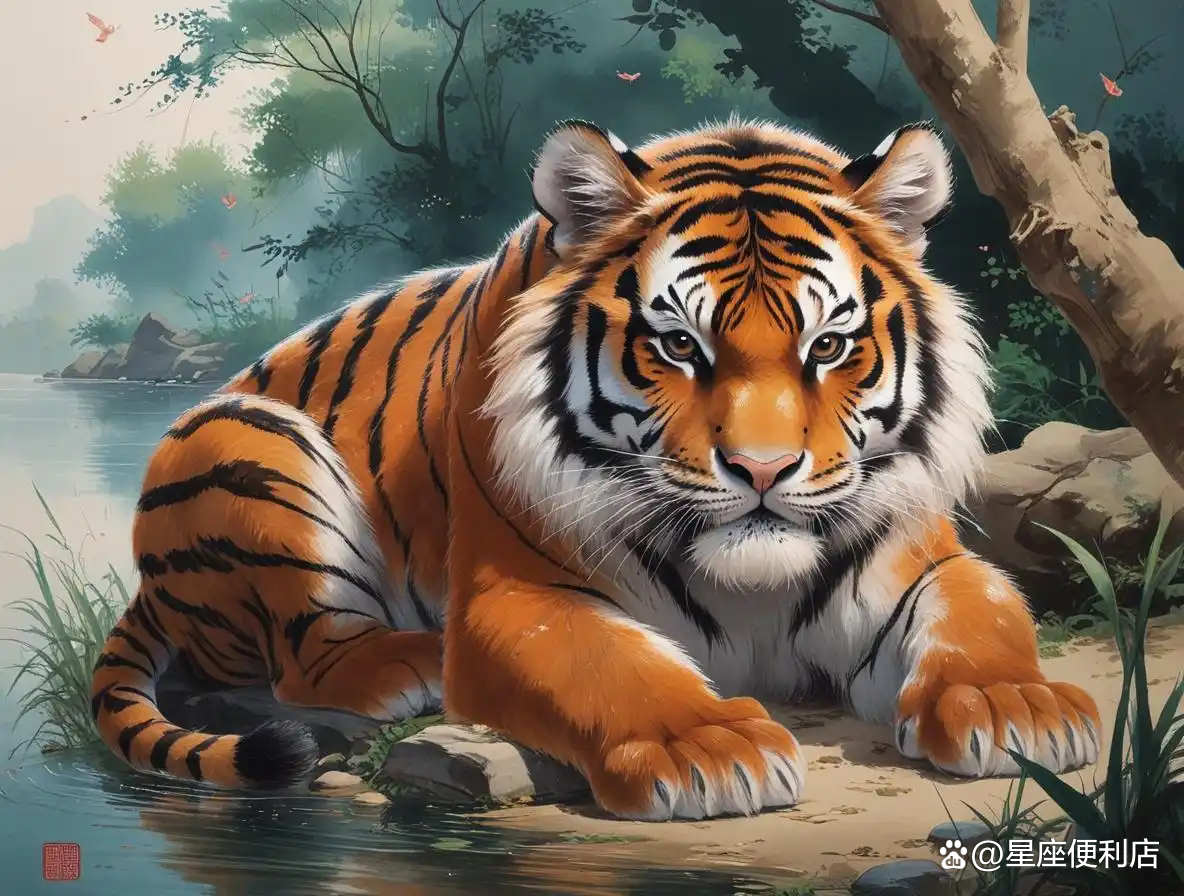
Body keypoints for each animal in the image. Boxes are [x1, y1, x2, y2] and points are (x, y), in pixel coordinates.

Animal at [90, 117, 1102, 821]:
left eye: (829, 345)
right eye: (679, 343)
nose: (764, 469)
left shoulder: (917, 557)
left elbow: (983, 605)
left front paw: (1016, 707)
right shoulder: (518, 596)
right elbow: (610, 663)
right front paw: (710, 749)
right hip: (246, 438)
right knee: (306, 657)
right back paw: (410, 659)